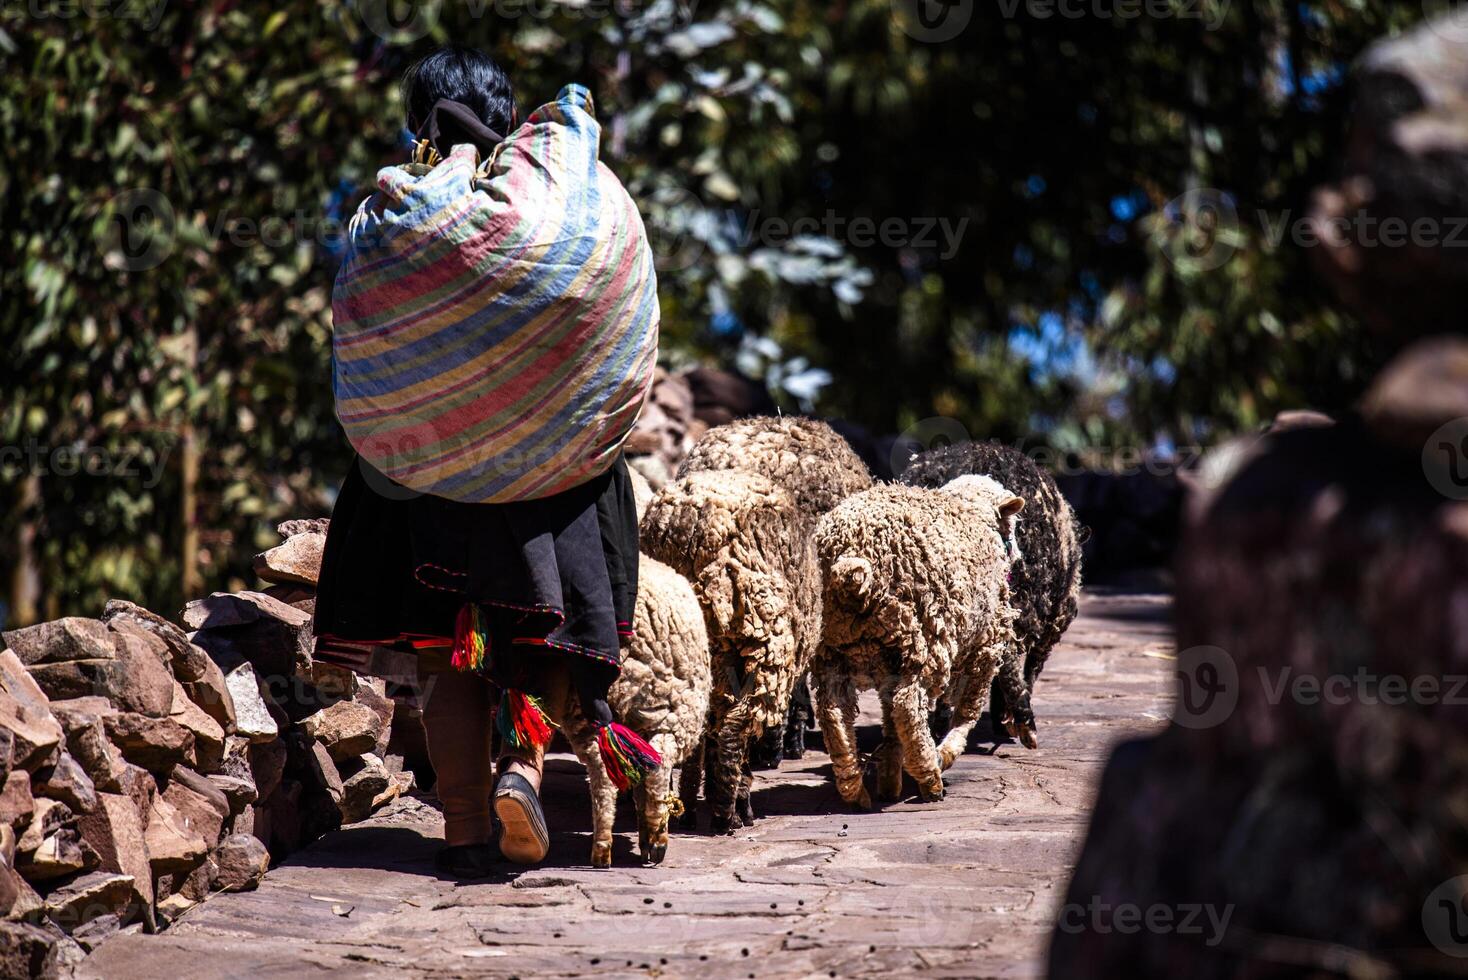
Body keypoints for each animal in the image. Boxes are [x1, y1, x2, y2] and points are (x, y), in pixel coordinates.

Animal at [810, 472, 1027, 803]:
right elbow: (968, 710)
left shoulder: (888, 663)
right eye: (1012, 527)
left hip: (836, 643)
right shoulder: (985, 645)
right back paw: (929, 776)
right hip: (922, 637)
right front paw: (944, 753)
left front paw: (889, 769)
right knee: (908, 705)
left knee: (834, 711)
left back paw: (853, 787)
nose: (1018, 556)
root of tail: (852, 556)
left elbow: (889, 719)